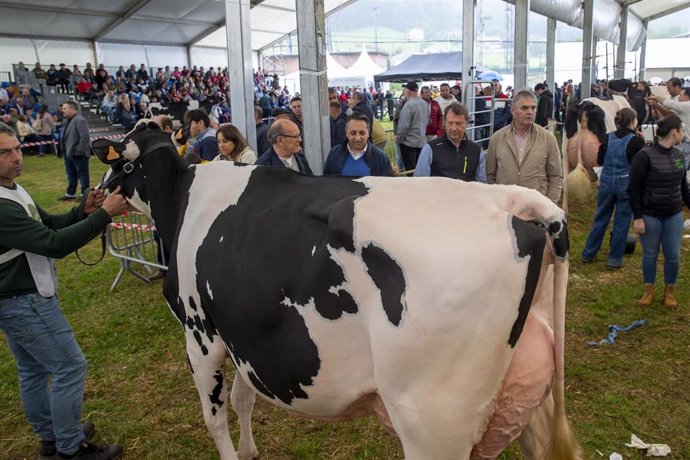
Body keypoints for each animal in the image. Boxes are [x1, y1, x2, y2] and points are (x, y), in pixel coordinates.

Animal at [91, 122, 576, 460]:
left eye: (116, 164)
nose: (95, 197)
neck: (181, 199)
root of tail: (504, 199)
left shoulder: (200, 332)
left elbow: (214, 416)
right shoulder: (241, 332)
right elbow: (243, 398)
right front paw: (250, 451)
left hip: (434, 420)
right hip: (528, 397)